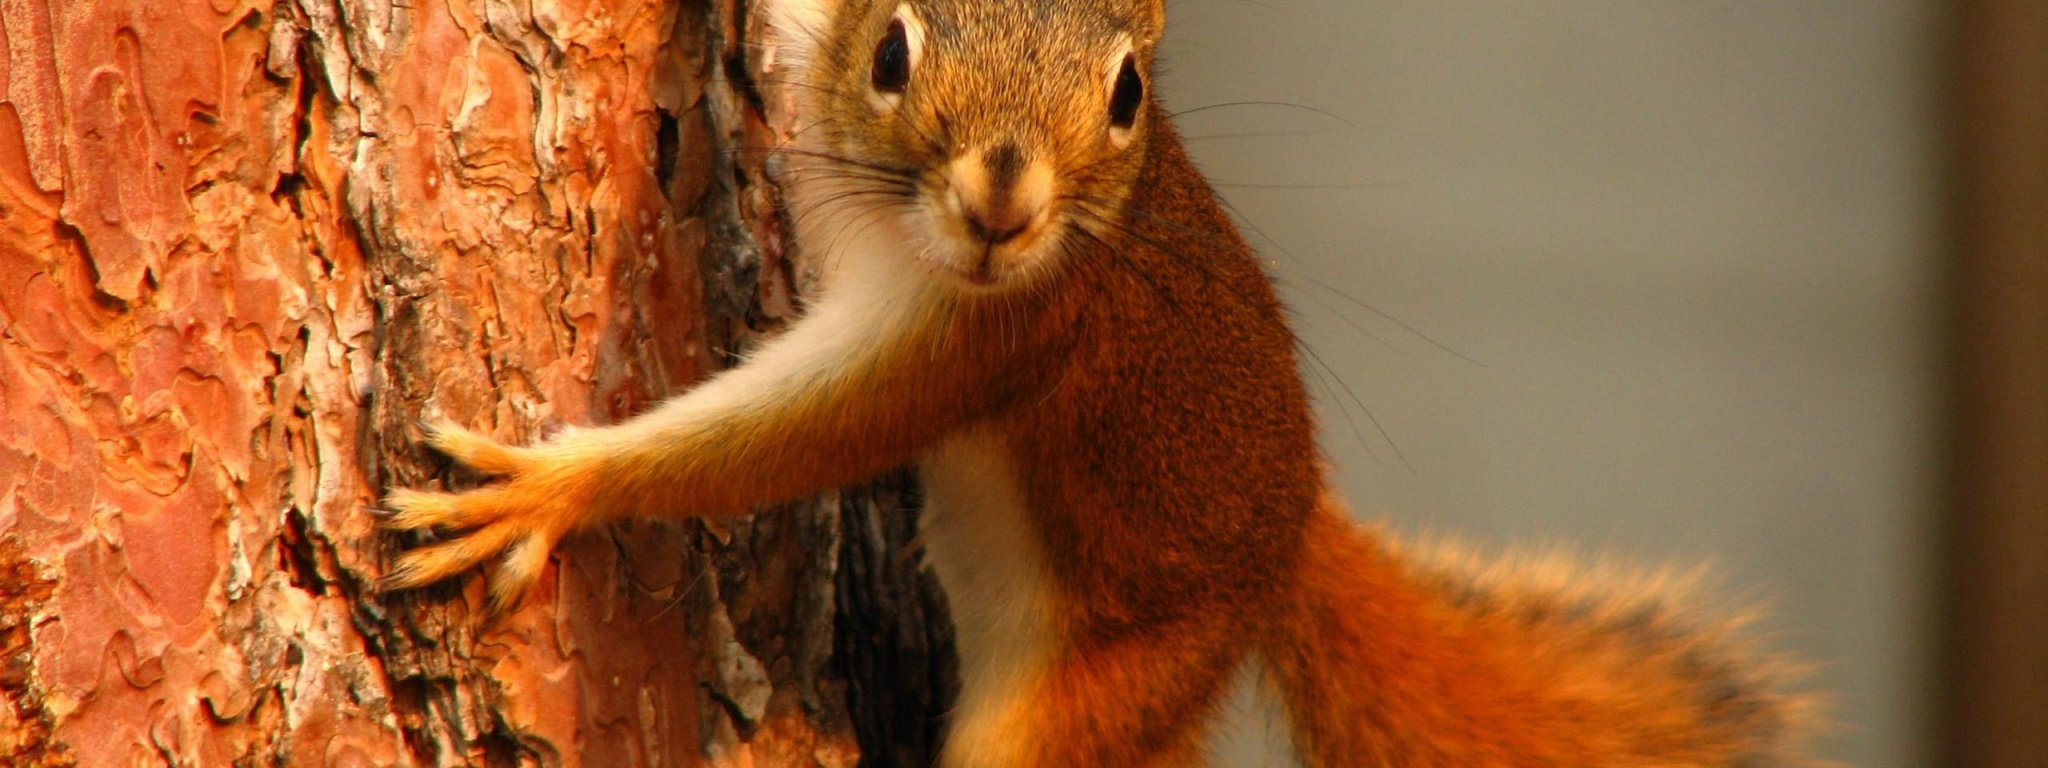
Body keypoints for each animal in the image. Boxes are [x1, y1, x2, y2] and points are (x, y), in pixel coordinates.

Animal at [376, 0, 1818, 765]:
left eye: (1128, 90)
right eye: (892, 51)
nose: (1004, 205)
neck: (896, 222)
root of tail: (1290, 540)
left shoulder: (987, 339)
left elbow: (784, 439)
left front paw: (547, 491)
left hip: (1110, 691)